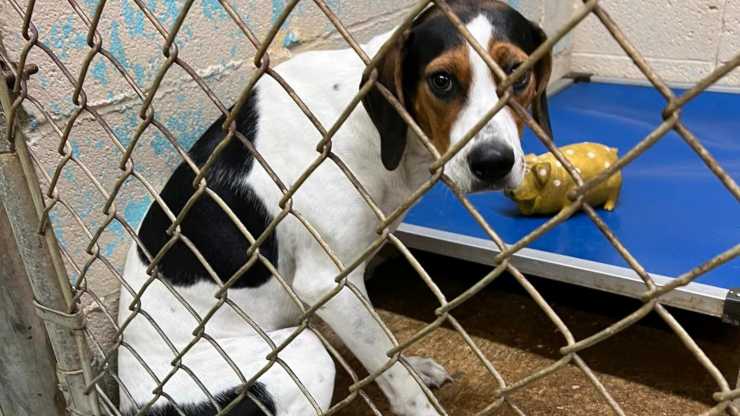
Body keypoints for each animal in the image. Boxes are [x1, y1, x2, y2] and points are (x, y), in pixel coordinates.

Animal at [118, 1, 552, 414]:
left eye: (519, 74)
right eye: (441, 80)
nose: (493, 162)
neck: (371, 128)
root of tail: (132, 398)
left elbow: (387, 347)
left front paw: (414, 365)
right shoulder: (329, 283)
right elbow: (395, 375)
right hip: (299, 355)